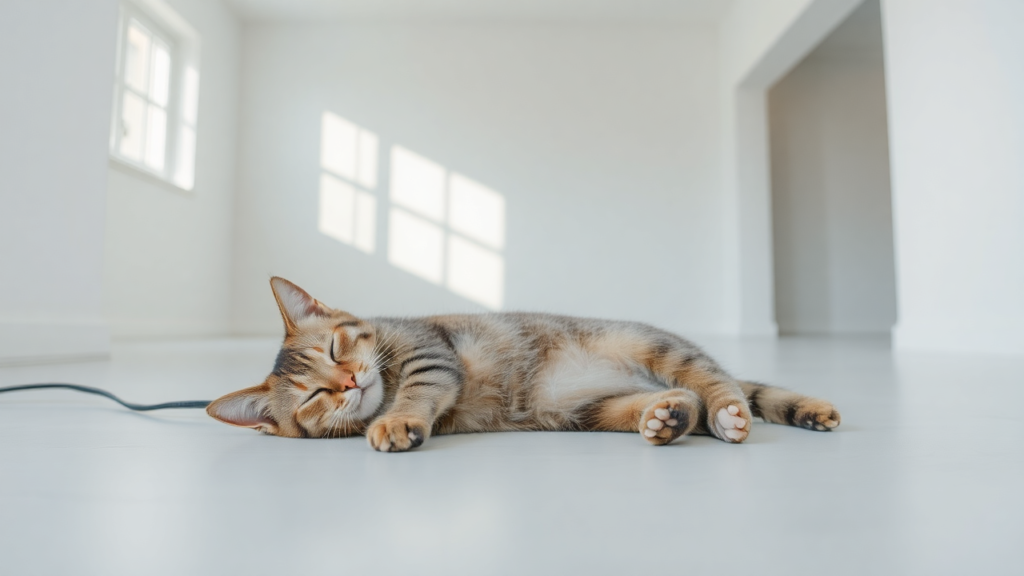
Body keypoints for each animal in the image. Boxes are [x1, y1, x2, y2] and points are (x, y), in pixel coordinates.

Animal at [205, 276, 839, 448]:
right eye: (314, 395)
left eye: (337, 348)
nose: (352, 379)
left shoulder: (430, 354)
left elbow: (414, 394)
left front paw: (397, 420)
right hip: (590, 411)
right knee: (685, 401)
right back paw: (669, 418)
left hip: (651, 346)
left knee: (718, 382)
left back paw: (732, 413)